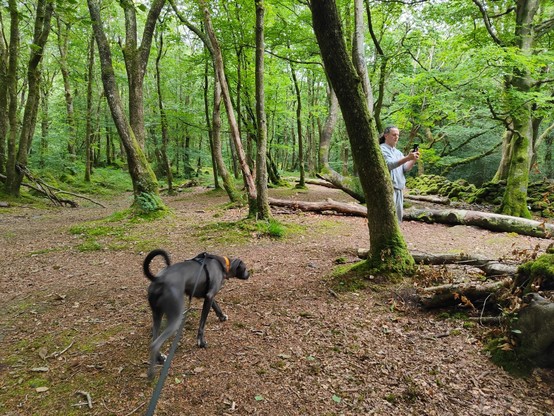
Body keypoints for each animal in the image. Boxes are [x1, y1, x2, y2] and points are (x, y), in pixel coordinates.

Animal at [142, 249, 248, 378]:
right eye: (245, 268)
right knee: (155, 344)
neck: (222, 264)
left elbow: (216, 306)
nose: (249, 274)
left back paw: (160, 358)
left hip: (157, 315)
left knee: (153, 339)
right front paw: (201, 342)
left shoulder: (208, 296)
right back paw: (151, 373)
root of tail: (159, 279)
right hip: (175, 317)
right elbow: (202, 324)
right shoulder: (209, 296)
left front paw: (222, 317)